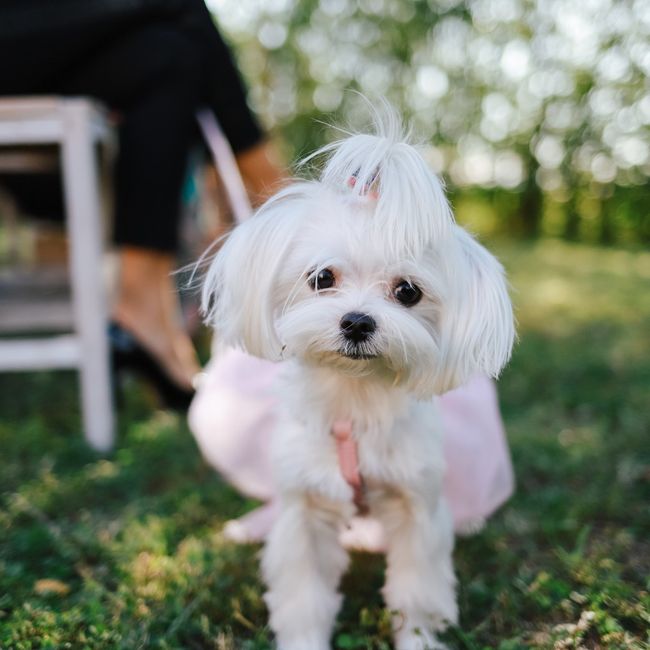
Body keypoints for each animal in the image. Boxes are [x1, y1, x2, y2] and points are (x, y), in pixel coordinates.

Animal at [200, 111, 512, 648]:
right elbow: (303, 596)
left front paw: (418, 640)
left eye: (407, 292)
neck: (354, 395)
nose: (358, 322)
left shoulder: (416, 508)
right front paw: (304, 639)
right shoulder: (305, 511)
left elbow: (417, 593)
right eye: (321, 277)